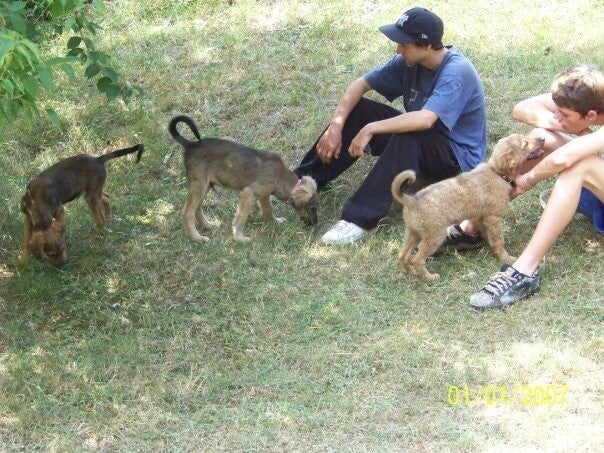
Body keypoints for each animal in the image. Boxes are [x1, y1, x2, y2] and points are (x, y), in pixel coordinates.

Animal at [168, 115, 318, 242]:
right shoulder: (249, 193)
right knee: (187, 212)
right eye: (312, 208)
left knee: (197, 208)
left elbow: (268, 211)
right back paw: (197, 238)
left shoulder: (263, 195)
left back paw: (207, 225)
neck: (280, 177)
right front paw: (239, 238)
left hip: (205, 185)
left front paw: (276, 221)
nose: (315, 224)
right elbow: (241, 218)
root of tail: (190, 145)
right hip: (199, 185)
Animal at [390, 134, 545, 280]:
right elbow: (499, 240)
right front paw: (505, 257)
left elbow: (488, 235)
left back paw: (409, 272)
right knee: (417, 259)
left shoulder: (482, 218)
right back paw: (429, 277)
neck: (497, 172)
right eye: (525, 144)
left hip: (413, 233)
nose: (543, 138)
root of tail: (411, 200)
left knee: (403, 255)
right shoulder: (494, 218)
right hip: (434, 236)